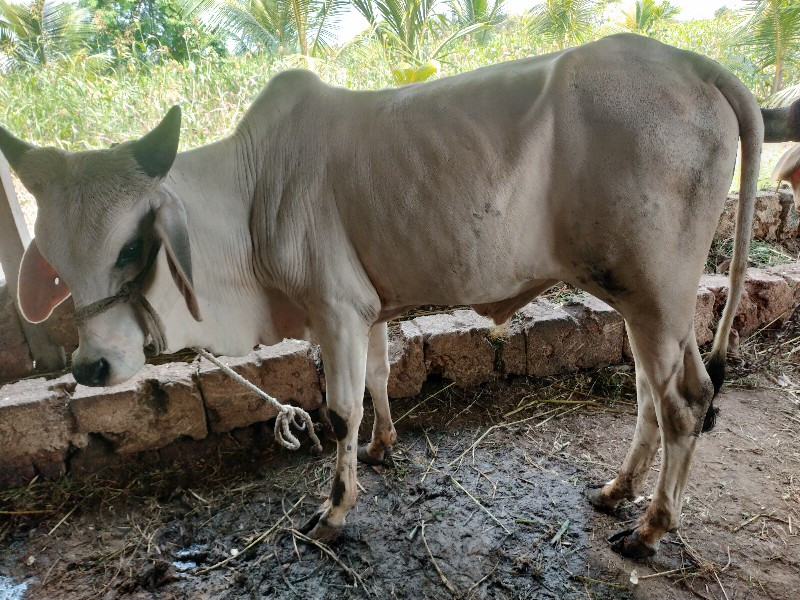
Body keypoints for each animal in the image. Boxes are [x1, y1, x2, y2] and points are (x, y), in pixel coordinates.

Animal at [1, 32, 800, 556]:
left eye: (132, 248)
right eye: (60, 261)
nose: (92, 367)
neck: (248, 197)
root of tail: (699, 68)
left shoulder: (334, 310)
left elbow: (339, 409)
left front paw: (333, 511)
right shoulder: (368, 309)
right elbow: (380, 381)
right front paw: (385, 446)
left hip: (656, 293)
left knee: (685, 402)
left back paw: (651, 527)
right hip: (643, 300)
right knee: (651, 396)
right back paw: (617, 491)